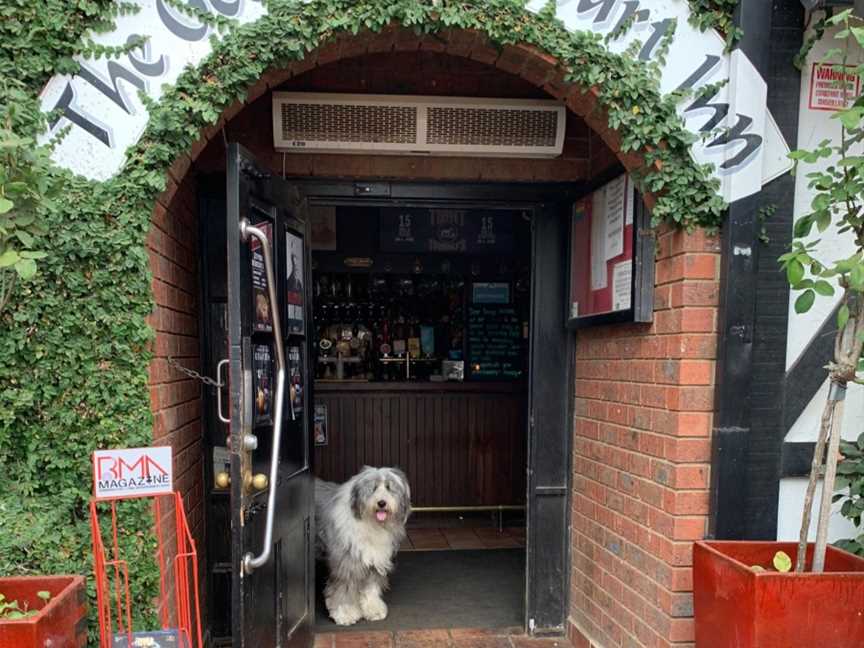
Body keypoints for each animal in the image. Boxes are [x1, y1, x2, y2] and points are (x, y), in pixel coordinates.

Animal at [316, 468, 414, 624]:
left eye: (389, 487)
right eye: (373, 488)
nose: (381, 503)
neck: (372, 523)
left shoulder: (374, 558)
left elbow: (370, 588)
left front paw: (373, 609)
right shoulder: (347, 562)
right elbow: (344, 589)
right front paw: (345, 613)